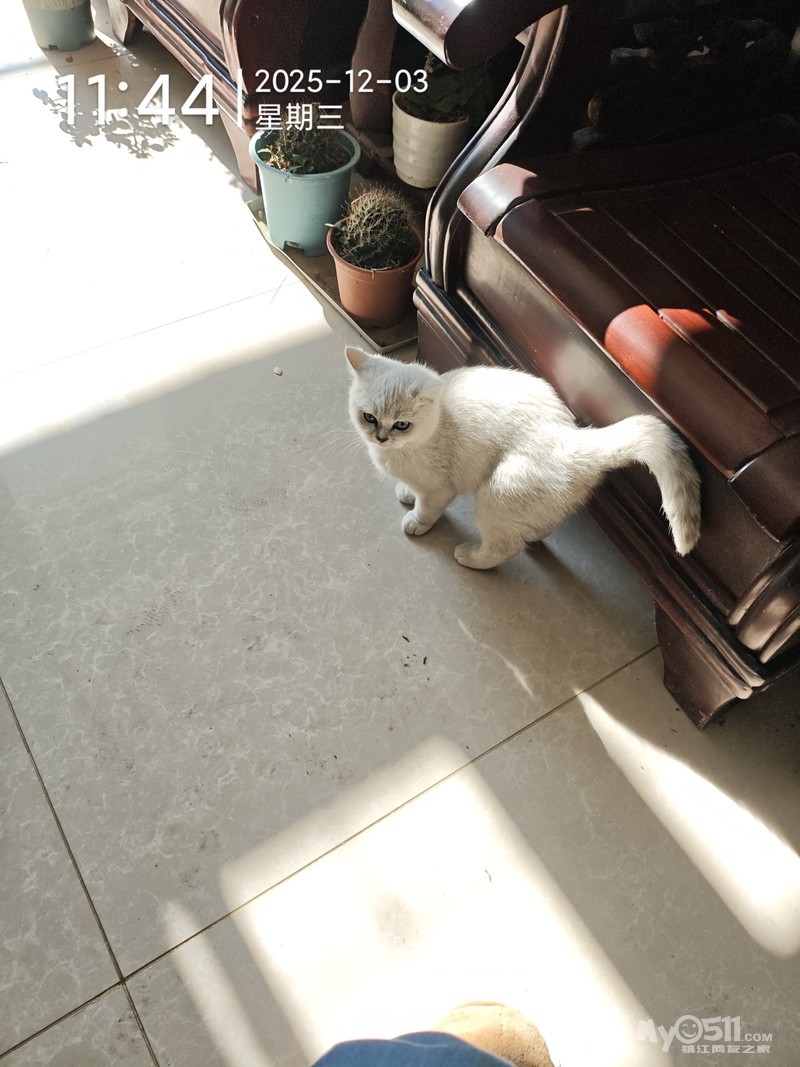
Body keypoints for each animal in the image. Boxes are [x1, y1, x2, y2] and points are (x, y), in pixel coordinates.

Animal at [345, 346, 701, 569]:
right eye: (369, 418)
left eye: (401, 425)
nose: (381, 437)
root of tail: (575, 439)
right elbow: (410, 491)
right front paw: (405, 492)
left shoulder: (438, 489)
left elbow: (426, 509)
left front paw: (416, 521)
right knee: (540, 527)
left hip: (498, 492)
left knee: (506, 547)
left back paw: (471, 557)